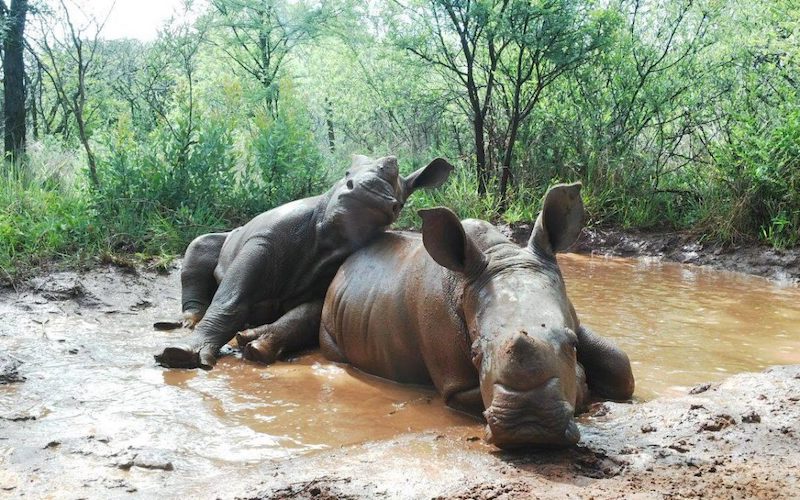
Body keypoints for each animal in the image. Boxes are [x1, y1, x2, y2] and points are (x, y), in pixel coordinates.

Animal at [154, 154, 454, 370]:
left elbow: (306, 315)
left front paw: (259, 347)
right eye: (346, 175)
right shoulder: (264, 239)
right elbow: (228, 300)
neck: (329, 236)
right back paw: (187, 323)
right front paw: (182, 354)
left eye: (399, 199)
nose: (364, 192)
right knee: (200, 243)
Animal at [316, 184, 636, 450]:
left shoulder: (572, 316)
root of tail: (345, 265)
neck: (499, 254)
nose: (530, 427)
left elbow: (620, 364)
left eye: (572, 345)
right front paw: (584, 385)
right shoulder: (454, 383)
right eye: (475, 353)